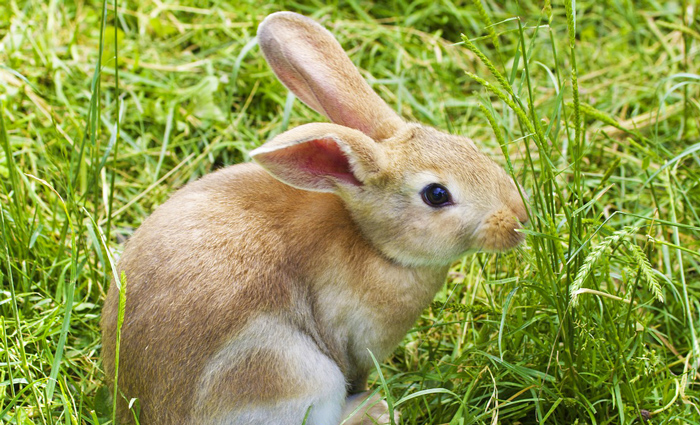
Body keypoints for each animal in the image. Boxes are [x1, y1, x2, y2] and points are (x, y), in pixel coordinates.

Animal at [98, 9, 524, 424]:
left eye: (468, 145)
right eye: (436, 195)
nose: (519, 218)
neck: (373, 244)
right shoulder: (352, 342)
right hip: (292, 372)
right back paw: (376, 409)